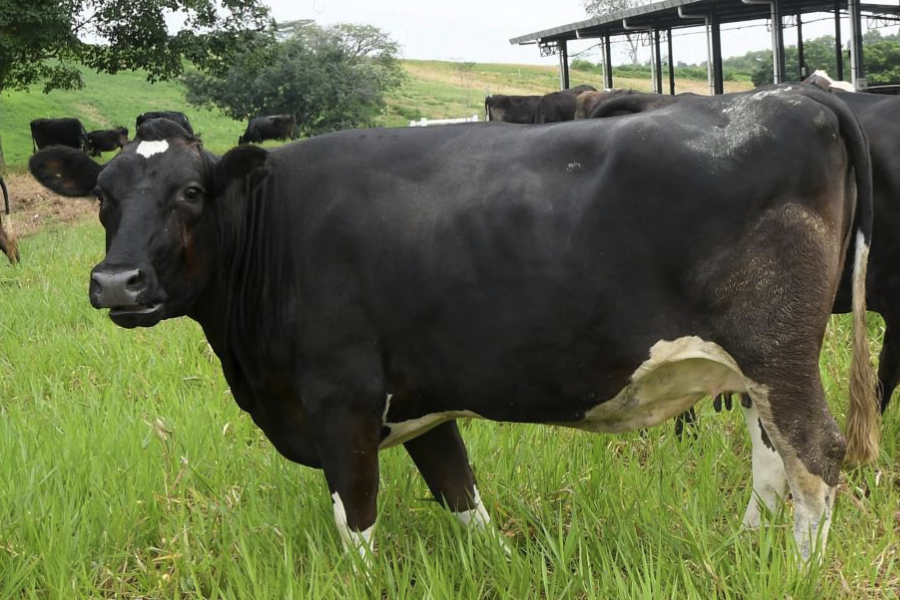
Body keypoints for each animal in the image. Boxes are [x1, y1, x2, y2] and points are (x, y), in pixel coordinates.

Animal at [29, 85, 880, 568]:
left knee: (814, 455)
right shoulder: (422, 399)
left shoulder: (340, 398)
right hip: (762, 362)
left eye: (192, 192)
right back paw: (745, 551)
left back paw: (797, 574)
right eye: (102, 195)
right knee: (771, 458)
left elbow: (356, 516)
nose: (116, 282)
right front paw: (499, 567)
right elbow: (461, 496)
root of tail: (795, 99)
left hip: (777, 349)